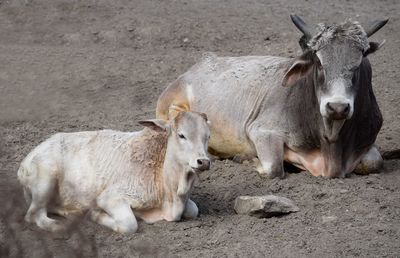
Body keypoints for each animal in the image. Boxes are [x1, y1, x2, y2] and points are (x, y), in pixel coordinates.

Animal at [18, 111, 212, 234]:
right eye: (181, 135)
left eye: (207, 136)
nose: (203, 161)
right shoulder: (110, 196)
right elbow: (129, 224)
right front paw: (95, 214)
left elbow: (193, 209)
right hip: (46, 178)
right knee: (33, 215)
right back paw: (61, 227)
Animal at [156, 15, 388, 178]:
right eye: (319, 62)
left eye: (358, 64)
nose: (337, 107)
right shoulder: (262, 131)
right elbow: (273, 168)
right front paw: (248, 160)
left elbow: (374, 162)